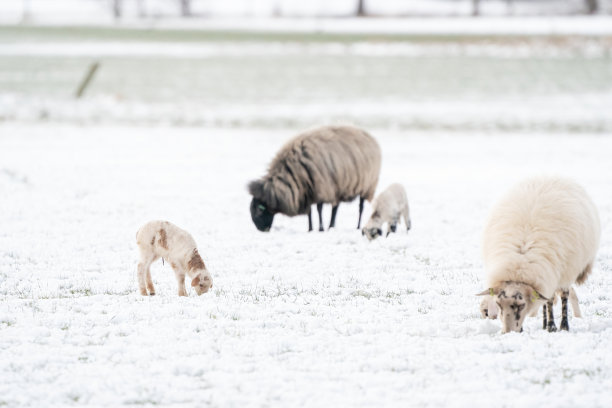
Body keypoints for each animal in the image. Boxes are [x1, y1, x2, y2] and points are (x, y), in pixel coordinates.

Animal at [476, 177, 600, 334]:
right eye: (498, 304)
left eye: (521, 305)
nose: (508, 332)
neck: (519, 263)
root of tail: (550, 176)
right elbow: (545, 301)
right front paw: (547, 324)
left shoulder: (561, 271)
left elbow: (556, 298)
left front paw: (556, 326)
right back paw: (545, 323)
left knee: (562, 295)